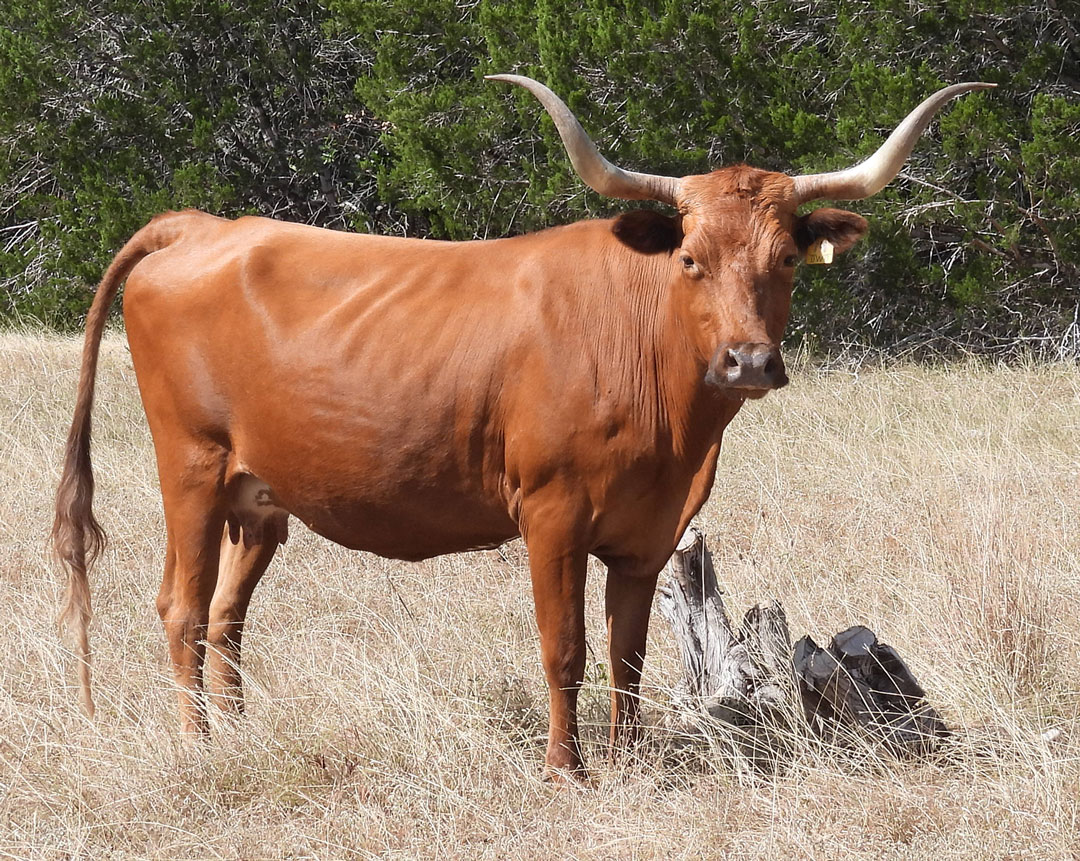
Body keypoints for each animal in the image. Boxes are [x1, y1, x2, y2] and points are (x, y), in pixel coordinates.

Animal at [54, 77, 989, 782]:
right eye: (691, 259)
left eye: (787, 260)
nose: (748, 362)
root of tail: (203, 225)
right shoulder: (551, 513)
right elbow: (564, 647)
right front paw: (565, 768)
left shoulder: (650, 533)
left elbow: (627, 653)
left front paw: (630, 761)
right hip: (191, 467)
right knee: (181, 606)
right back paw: (198, 746)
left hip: (261, 498)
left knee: (227, 613)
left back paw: (242, 731)